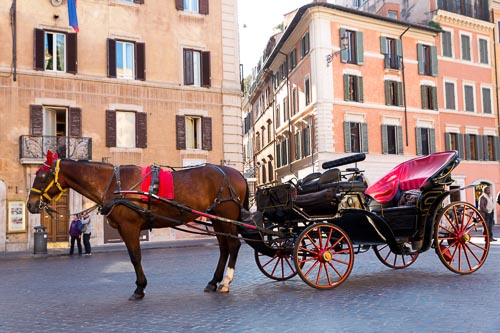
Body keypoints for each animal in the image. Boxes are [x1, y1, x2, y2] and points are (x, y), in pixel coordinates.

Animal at [26, 152, 249, 300]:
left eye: (42, 176)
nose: (30, 204)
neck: (114, 185)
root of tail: (237, 173)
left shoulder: (129, 227)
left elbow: (135, 257)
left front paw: (139, 288)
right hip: (217, 218)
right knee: (224, 248)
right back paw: (214, 281)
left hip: (225, 216)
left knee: (234, 245)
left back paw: (226, 282)